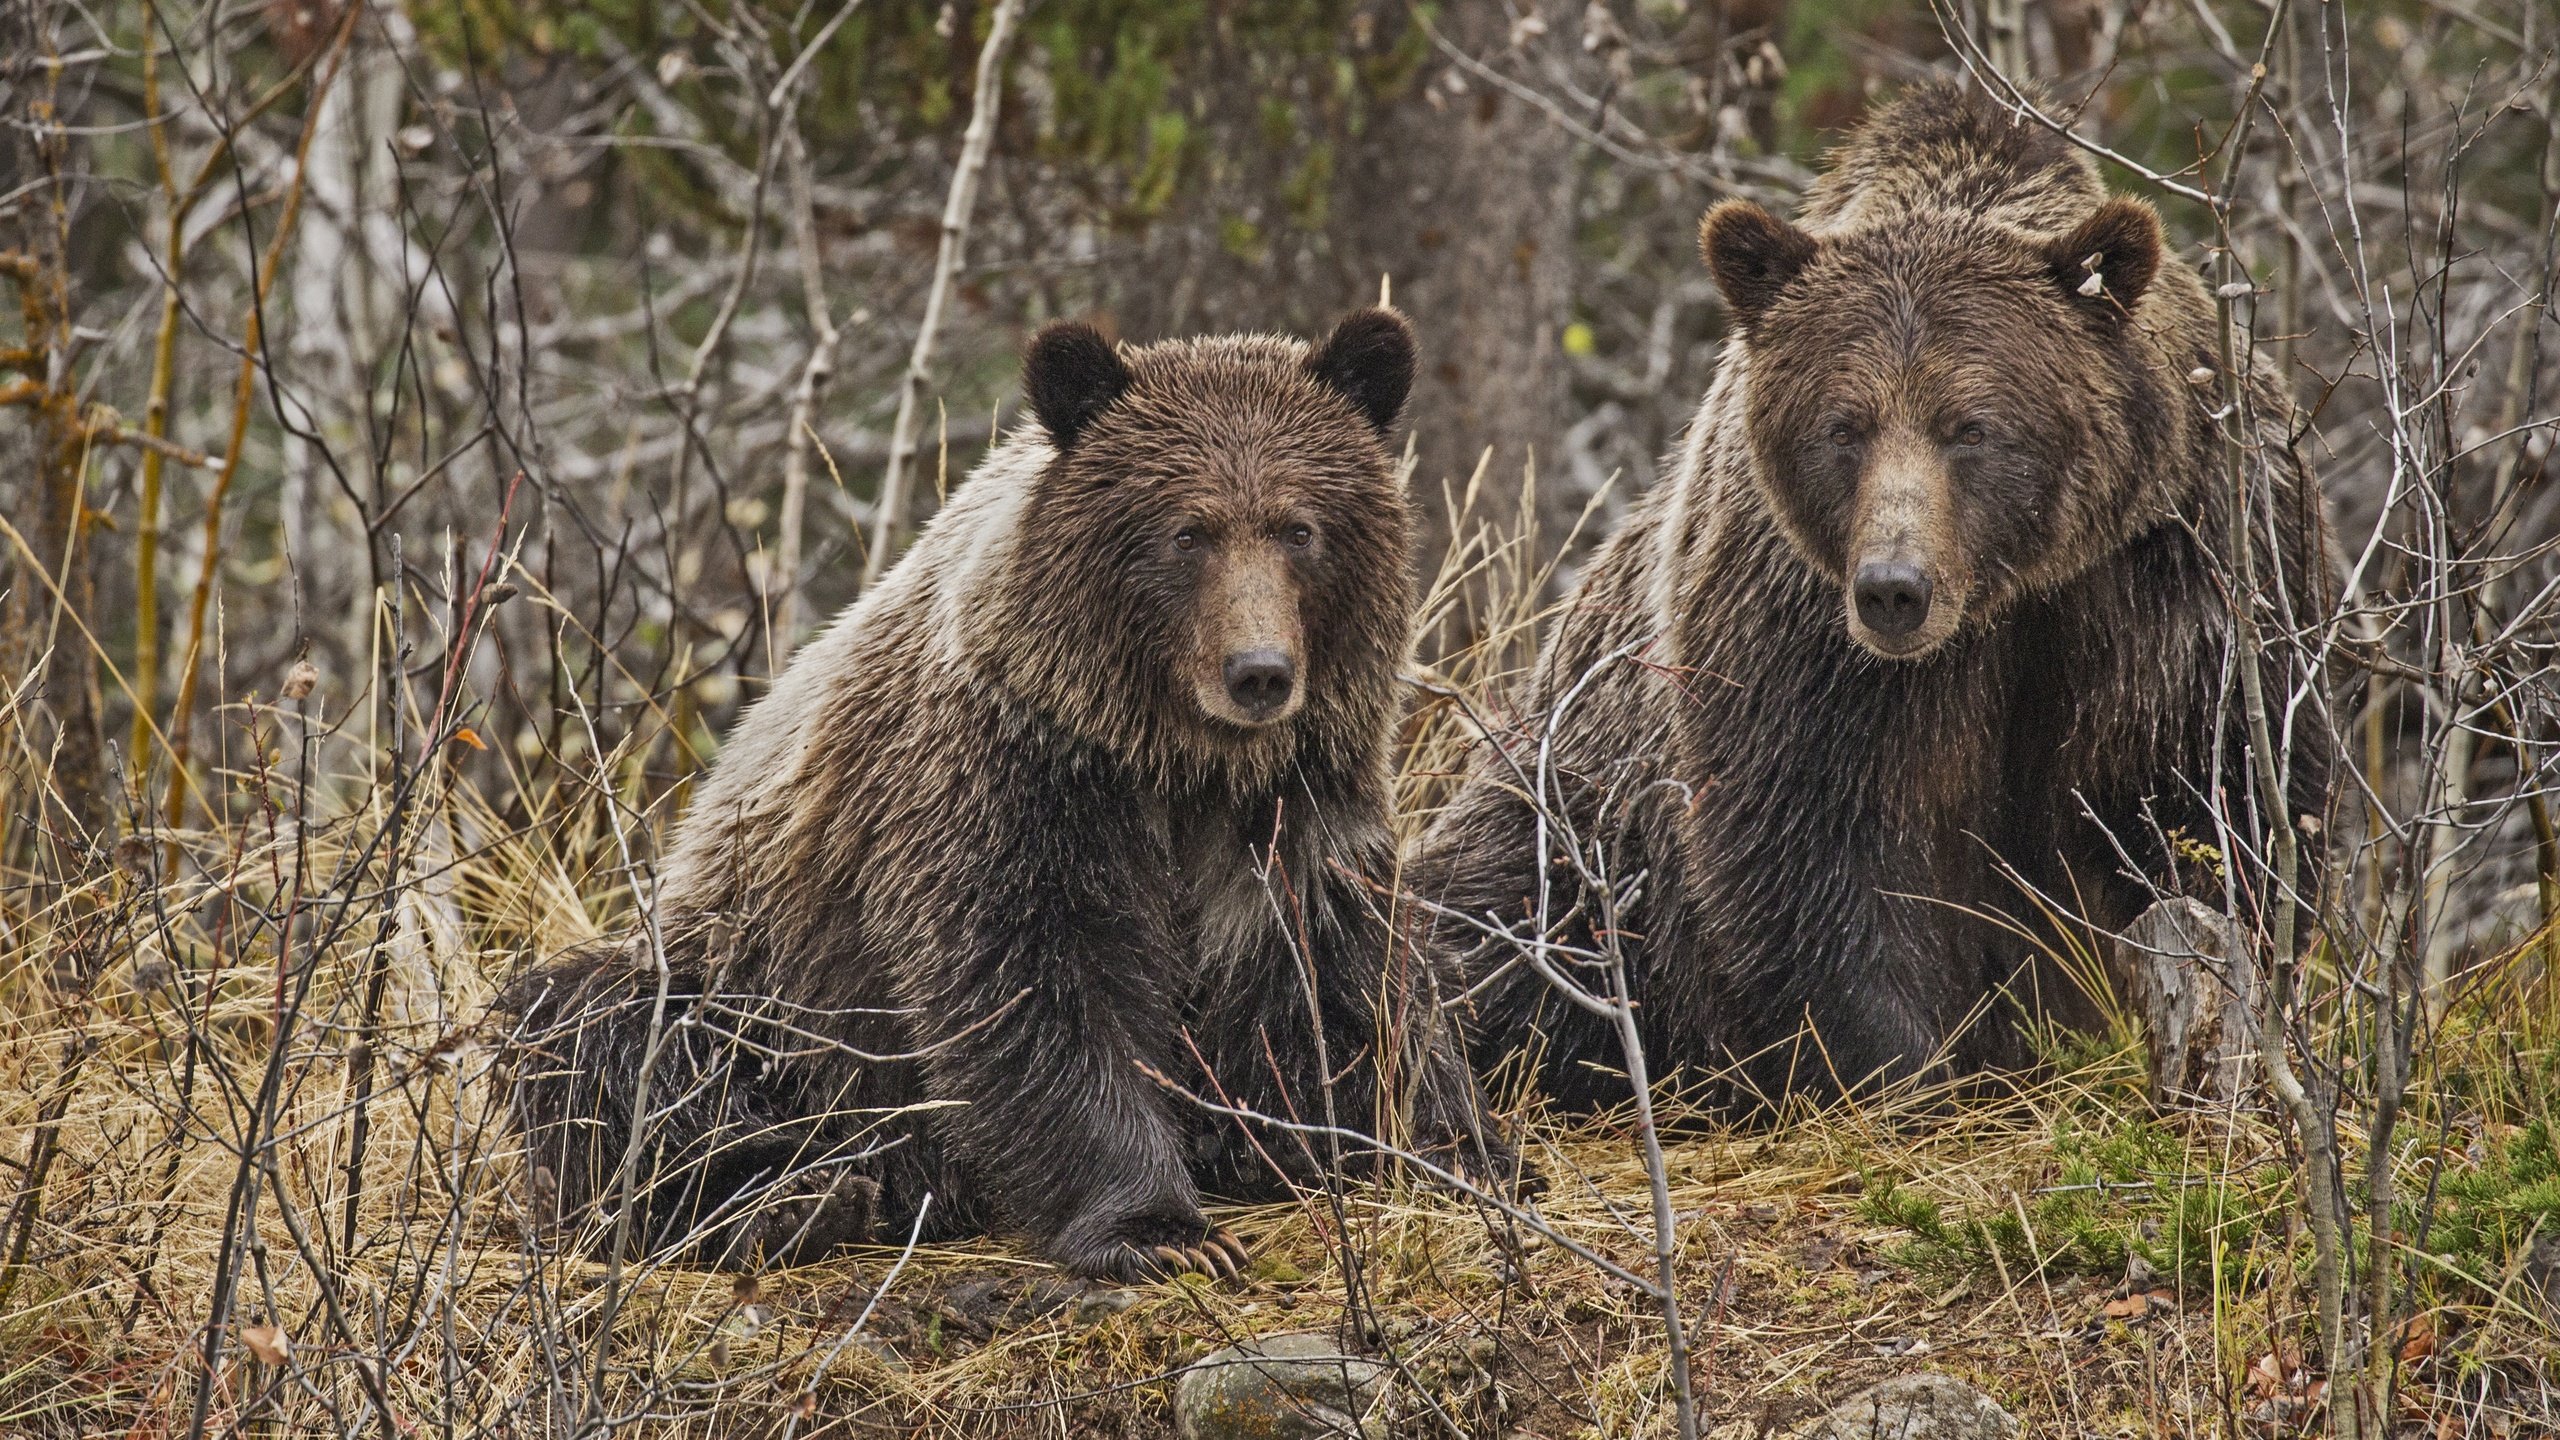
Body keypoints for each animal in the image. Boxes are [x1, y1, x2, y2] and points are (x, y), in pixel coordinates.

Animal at [501, 308, 1495, 1270]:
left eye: (1299, 528)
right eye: (1188, 532)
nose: (1259, 672)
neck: (1175, 759)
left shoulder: (1295, 803)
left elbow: (1341, 977)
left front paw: (1443, 1145)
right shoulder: (1010, 781)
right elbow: (1035, 986)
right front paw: (1159, 1229)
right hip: (758, 999)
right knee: (599, 1034)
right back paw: (782, 1204)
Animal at [1423, 83, 2344, 1101]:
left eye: (1972, 426)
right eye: (1843, 426)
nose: (1894, 590)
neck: (2008, 592)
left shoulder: (2185, 564)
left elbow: (2216, 800)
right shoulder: (1799, 623)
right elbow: (1821, 849)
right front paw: (1912, 1072)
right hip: (1568, 815)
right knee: (1483, 929)